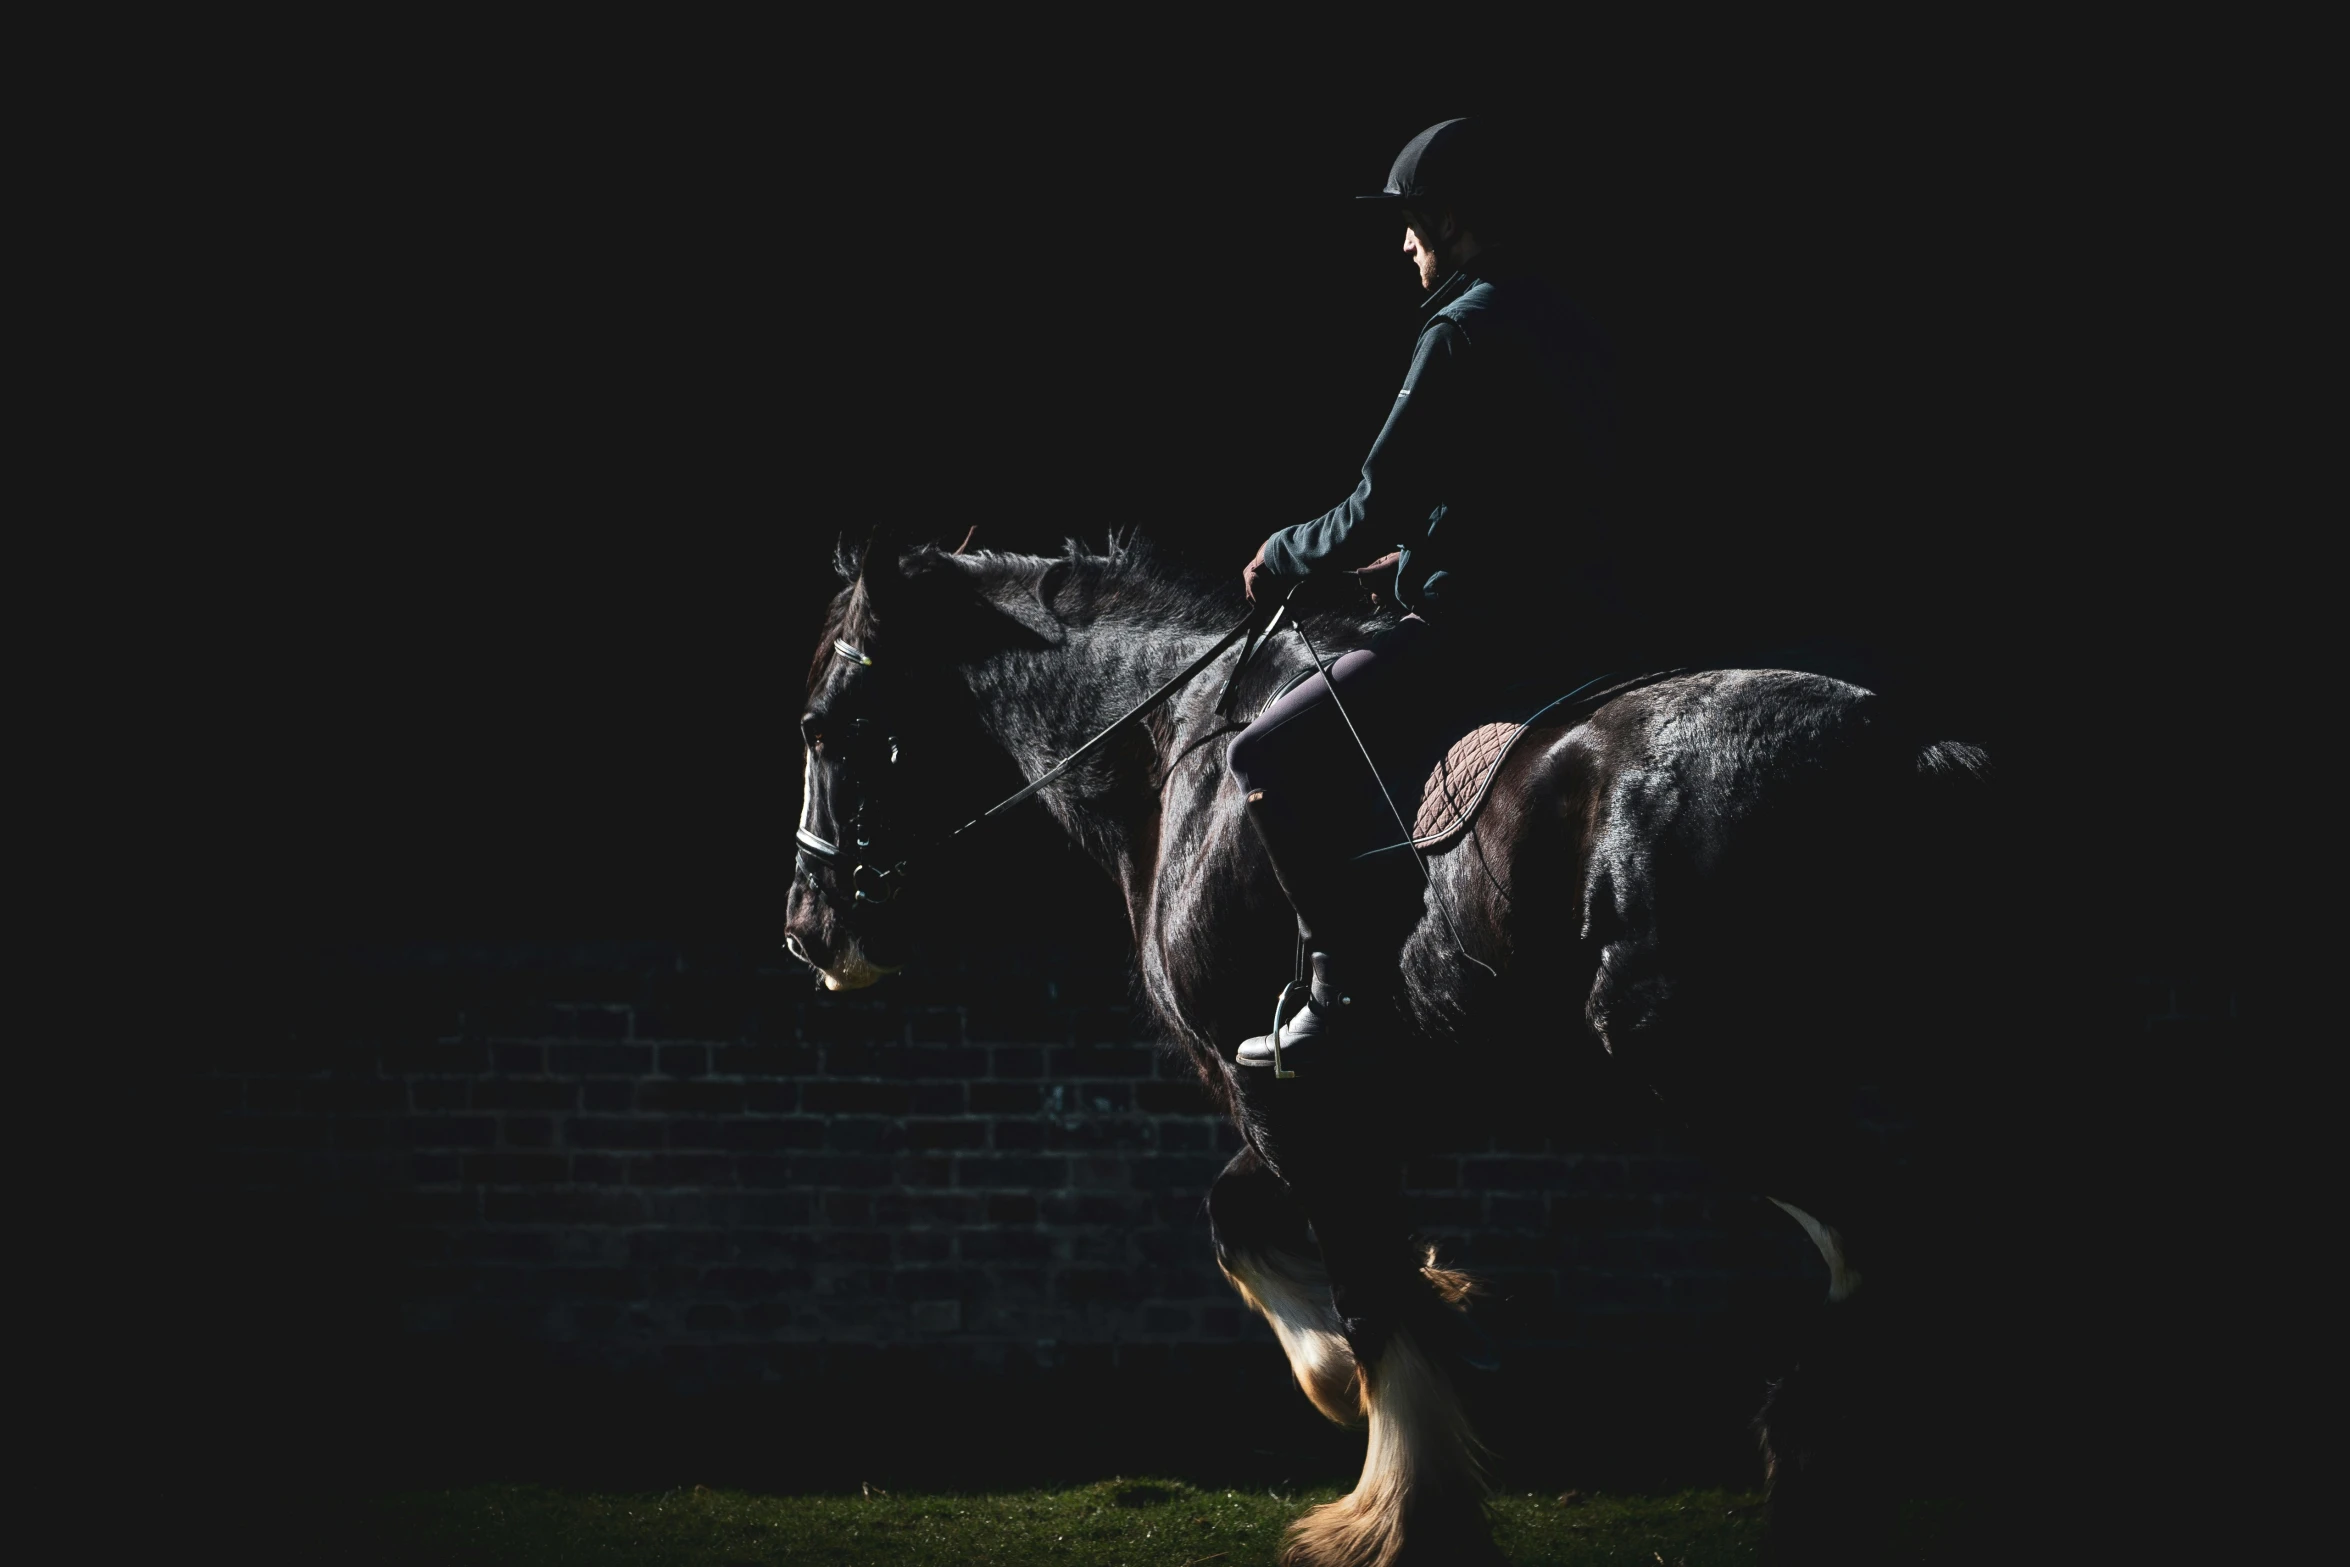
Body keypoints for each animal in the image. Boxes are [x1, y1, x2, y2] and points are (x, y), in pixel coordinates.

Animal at [784, 533, 2002, 1559]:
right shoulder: (1338, 1099)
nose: (807, 930)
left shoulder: (1286, 1096)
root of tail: (1909, 746)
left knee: (1881, 1241)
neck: (1177, 753)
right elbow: (1255, 1227)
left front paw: (1397, 1508)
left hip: (1712, 1073)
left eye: (823, 726)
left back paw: (1803, 1449)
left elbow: (1363, 1290)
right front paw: (1390, 1359)